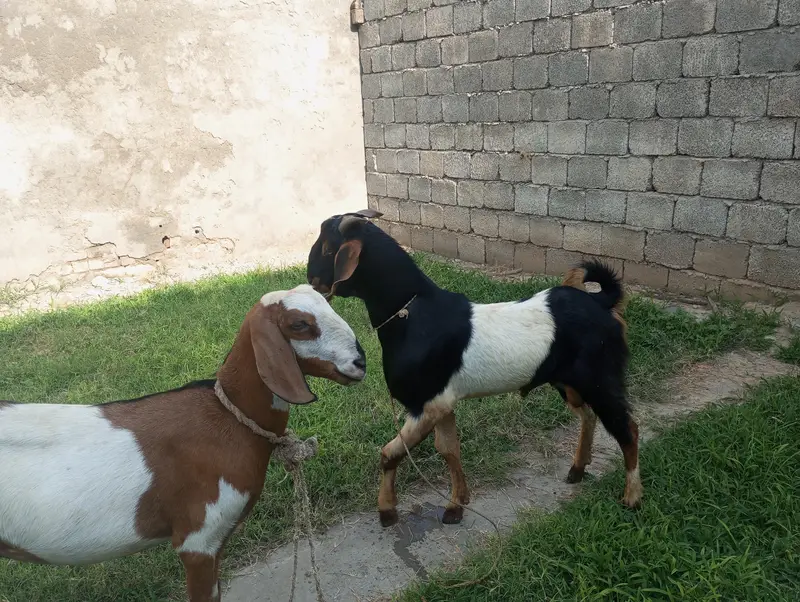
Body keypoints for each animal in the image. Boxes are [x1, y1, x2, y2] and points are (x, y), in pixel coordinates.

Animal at [307, 210, 640, 528]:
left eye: (328, 248)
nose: (311, 279)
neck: (411, 314)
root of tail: (602, 303)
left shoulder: (426, 402)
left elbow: (391, 454)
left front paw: (387, 512)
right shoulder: (442, 404)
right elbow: (448, 449)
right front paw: (457, 505)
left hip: (600, 378)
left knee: (627, 428)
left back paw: (632, 498)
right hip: (569, 381)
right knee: (588, 416)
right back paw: (577, 469)